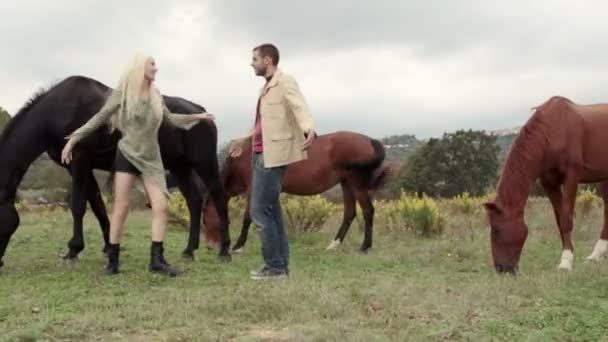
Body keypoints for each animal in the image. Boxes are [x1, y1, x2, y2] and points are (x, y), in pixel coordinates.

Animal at [202, 132, 396, 252]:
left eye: (204, 219)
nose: (210, 246)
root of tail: (371, 141)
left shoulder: (253, 189)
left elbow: (248, 217)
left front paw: (238, 246)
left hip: (356, 184)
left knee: (368, 211)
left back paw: (364, 246)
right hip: (346, 184)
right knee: (349, 213)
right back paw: (333, 245)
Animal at [482, 95, 608, 276]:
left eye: (497, 230)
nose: (502, 269)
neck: (552, 132)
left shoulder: (571, 177)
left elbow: (566, 219)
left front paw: (566, 263)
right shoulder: (549, 183)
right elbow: (559, 220)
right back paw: (596, 254)